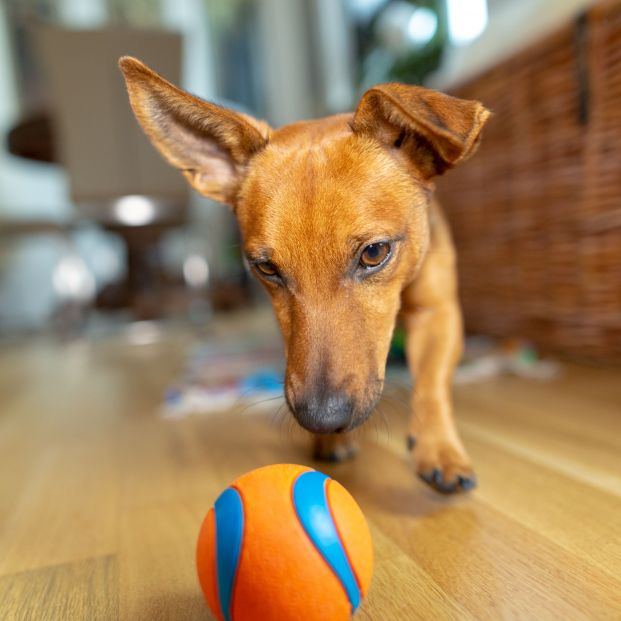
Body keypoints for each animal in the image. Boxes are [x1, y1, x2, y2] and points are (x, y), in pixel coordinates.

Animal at [120, 58, 490, 494]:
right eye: (266, 268)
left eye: (375, 253)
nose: (321, 419)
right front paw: (331, 442)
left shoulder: (437, 312)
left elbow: (432, 384)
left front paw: (439, 448)